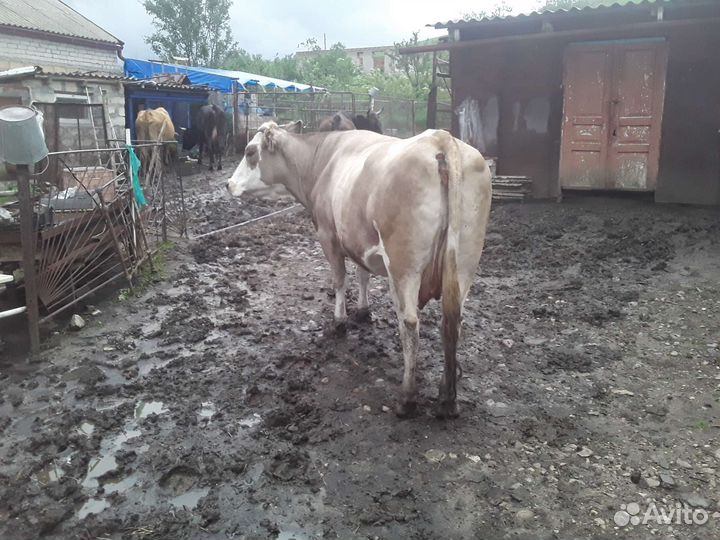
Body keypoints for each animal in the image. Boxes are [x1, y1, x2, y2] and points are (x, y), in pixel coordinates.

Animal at [226, 121, 492, 419]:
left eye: (250, 151)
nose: (228, 184)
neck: (321, 160)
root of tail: (441, 139)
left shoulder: (328, 235)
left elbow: (339, 280)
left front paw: (339, 322)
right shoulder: (356, 239)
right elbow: (362, 274)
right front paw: (363, 311)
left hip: (404, 266)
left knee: (410, 324)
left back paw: (407, 398)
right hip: (464, 265)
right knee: (452, 322)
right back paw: (447, 398)